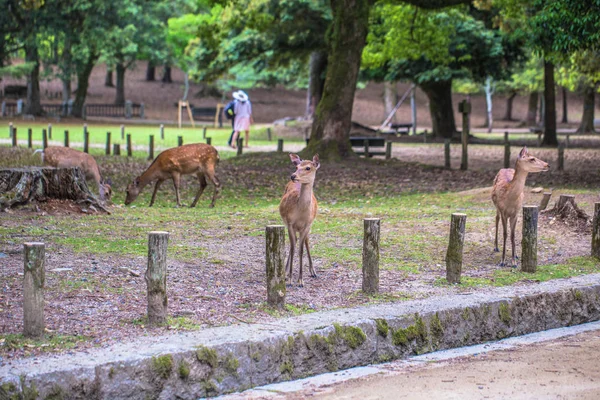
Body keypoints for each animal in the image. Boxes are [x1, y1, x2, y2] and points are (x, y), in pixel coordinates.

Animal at [280, 153, 322, 288]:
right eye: (297, 166)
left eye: (308, 168)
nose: (293, 176)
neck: (301, 213)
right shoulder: (290, 223)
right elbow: (293, 248)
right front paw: (289, 279)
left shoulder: (307, 225)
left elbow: (301, 250)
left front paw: (300, 280)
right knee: (294, 242)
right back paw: (286, 272)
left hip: (309, 226)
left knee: (306, 242)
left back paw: (313, 272)